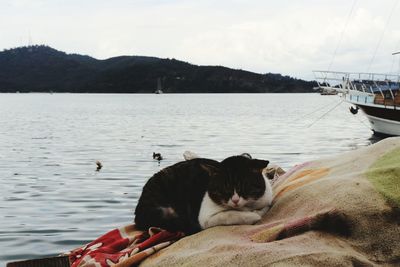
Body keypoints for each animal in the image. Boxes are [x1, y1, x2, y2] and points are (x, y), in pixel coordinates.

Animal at [134, 155, 272, 234]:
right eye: (225, 188)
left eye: (243, 187)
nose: (235, 200)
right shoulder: (205, 218)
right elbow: (231, 215)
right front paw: (253, 215)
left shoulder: (266, 199)